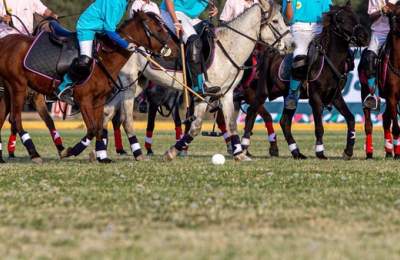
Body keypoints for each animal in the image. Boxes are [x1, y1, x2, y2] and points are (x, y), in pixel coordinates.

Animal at [0, 12, 177, 164]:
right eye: (159, 29)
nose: (175, 48)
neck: (104, 59)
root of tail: (5, 41)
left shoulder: (98, 100)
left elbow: (98, 127)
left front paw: (102, 156)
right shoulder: (83, 99)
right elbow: (92, 128)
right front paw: (69, 151)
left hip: (9, 89)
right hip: (18, 86)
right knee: (15, 119)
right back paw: (34, 154)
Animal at [103, 0, 290, 160]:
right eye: (275, 21)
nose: (290, 44)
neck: (228, 48)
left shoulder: (226, 94)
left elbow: (228, 124)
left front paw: (239, 154)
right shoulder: (204, 94)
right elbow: (197, 126)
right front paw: (172, 152)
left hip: (137, 83)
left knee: (108, 110)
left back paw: (100, 152)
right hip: (129, 81)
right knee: (125, 118)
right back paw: (137, 153)